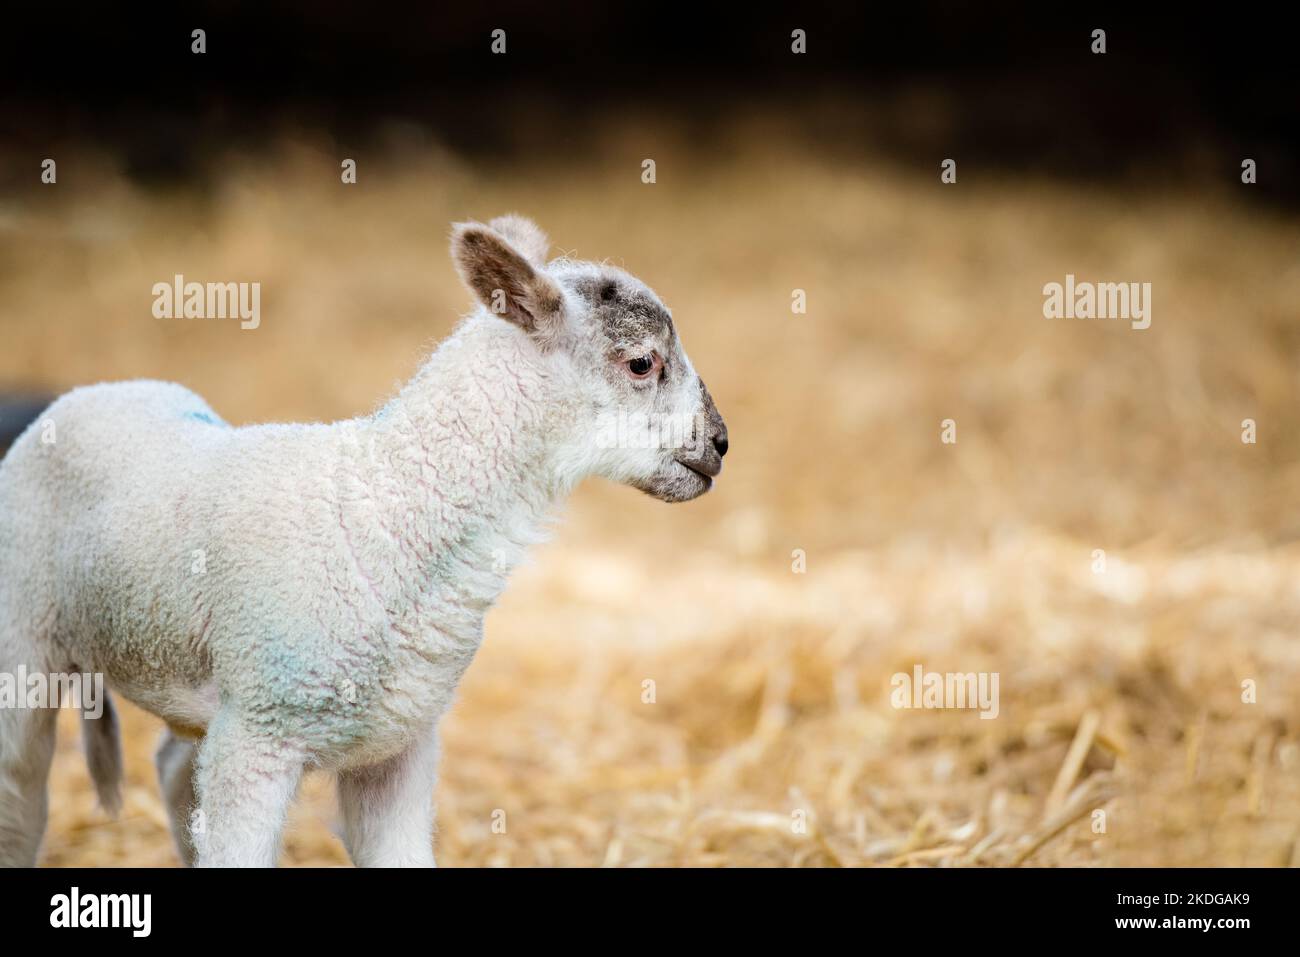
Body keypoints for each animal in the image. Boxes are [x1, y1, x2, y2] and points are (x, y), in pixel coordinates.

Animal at [0, 215, 728, 867]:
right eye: (642, 363)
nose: (720, 444)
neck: (388, 505)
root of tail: (96, 391)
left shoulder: (398, 743)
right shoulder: (257, 738)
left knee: (176, 768)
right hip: (26, 649)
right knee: (20, 801)